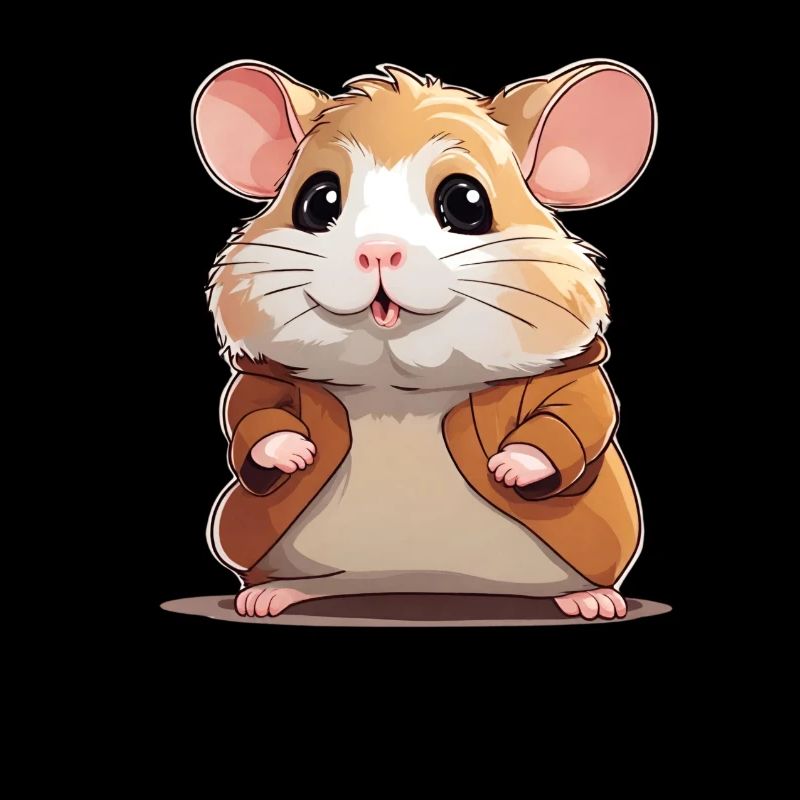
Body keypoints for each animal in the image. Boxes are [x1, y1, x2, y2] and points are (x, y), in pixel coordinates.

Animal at [192, 60, 655, 620]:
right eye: (318, 201)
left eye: (466, 201)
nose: (377, 251)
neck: (399, 386)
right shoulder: (262, 377)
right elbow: (253, 413)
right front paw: (294, 453)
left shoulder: (578, 374)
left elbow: (578, 414)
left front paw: (511, 468)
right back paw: (268, 597)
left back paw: (593, 600)